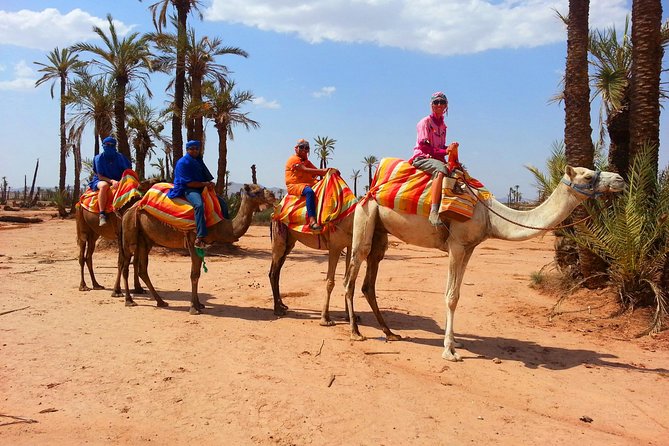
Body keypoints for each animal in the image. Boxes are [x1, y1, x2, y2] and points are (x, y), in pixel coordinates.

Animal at [120, 183, 276, 314]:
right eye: (256, 191)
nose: (272, 195)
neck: (219, 225)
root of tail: (130, 209)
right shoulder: (192, 241)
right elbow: (194, 275)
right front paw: (193, 308)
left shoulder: (201, 246)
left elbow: (197, 273)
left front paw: (199, 304)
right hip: (129, 234)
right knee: (125, 265)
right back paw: (129, 300)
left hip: (145, 240)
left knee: (142, 270)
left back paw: (161, 301)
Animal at [343, 165, 625, 361]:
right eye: (587, 176)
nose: (620, 179)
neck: (491, 216)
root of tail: (367, 193)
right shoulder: (456, 245)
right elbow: (450, 297)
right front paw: (449, 351)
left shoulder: (469, 248)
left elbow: (457, 294)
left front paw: (454, 343)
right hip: (365, 219)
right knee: (350, 277)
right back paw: (355, 331)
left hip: (380, 232)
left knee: (369, 281)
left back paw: (390, 333)